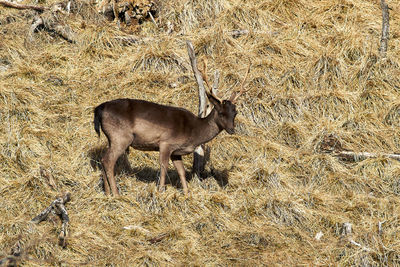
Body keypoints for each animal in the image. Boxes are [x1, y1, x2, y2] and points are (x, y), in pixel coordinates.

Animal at [94, 62, 250, 197]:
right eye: (221, 113)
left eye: (235, 113)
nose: (232, 129)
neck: (194, 132)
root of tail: (99, 108)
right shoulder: (165, 143)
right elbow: (164, 167)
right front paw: (161, 191)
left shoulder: (176, 152)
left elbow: (181, 171)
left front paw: (186, 194)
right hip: (121, 137)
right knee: (108, 160)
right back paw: (116, 193)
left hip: (112, 138)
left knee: (103, 159)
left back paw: (107, 193)